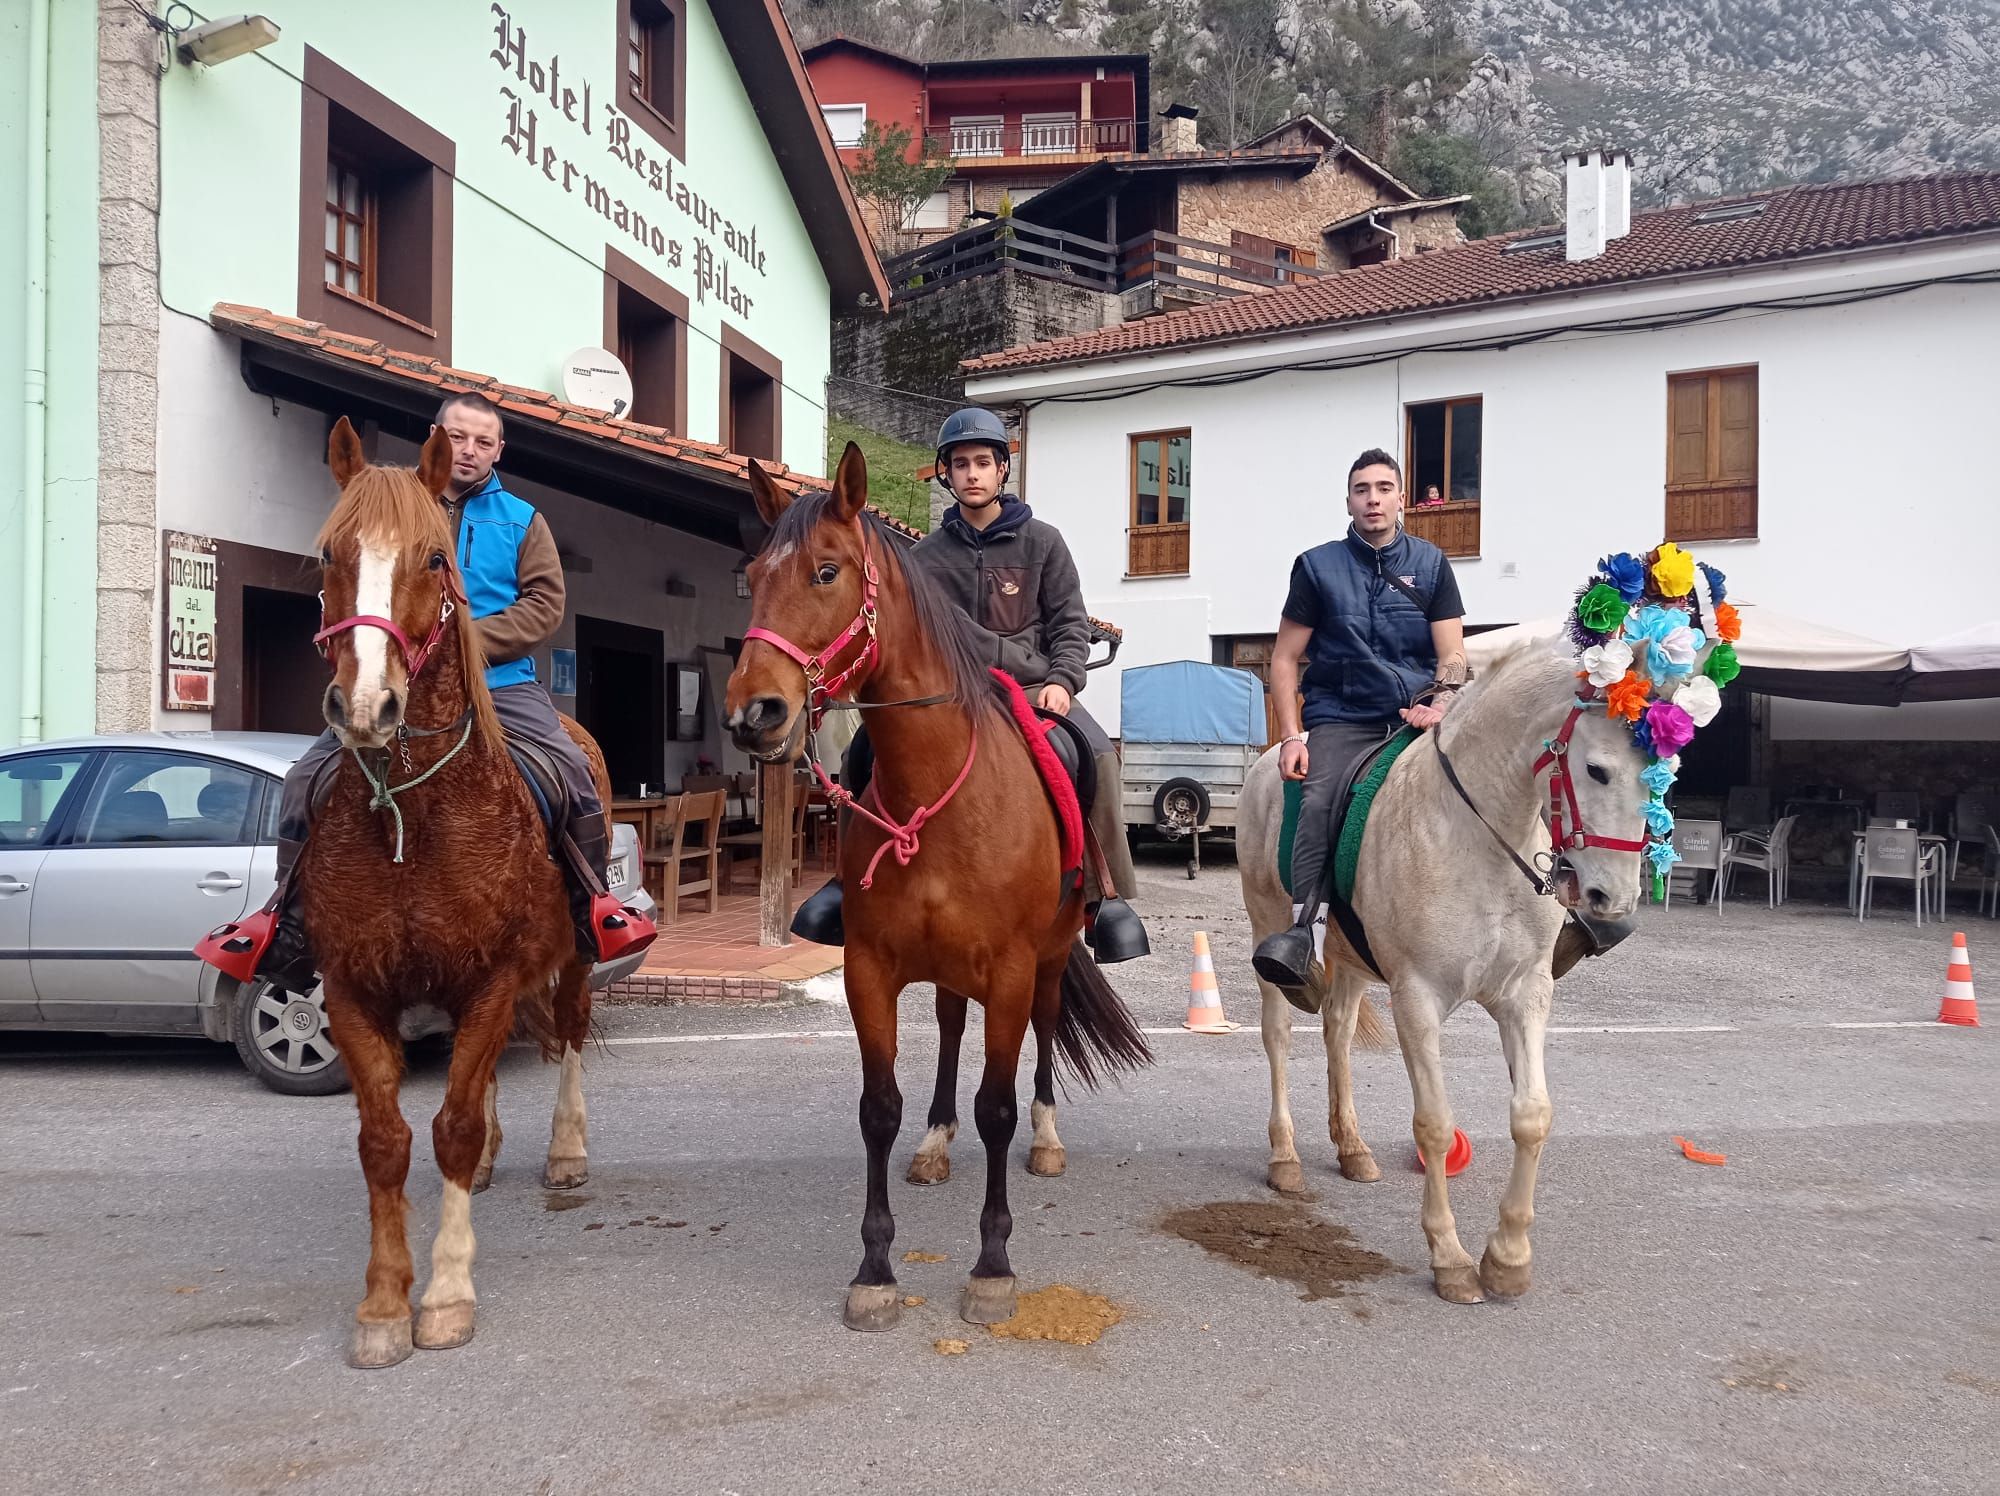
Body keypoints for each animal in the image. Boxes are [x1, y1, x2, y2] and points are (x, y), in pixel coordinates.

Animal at [305, 418, 603, 1367]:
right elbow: (388, 1142)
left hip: (574, 961)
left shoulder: (494, 977)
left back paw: (565, 1150)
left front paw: (444, 1293)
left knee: (569, 1037)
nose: (367, 706)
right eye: (329, 552)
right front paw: (381, 1304)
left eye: (436, 558)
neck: (414, 810)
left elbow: (454, 1125)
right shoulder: (355, 988)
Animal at [725, 444, 1152, 1332]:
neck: (937, 786)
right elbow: (878, 1108)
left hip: (1049, 959)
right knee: (953, 1027)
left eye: (826, 571)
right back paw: (935, 1142)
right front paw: (875, 1269)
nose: (755, 714)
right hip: (951, 967)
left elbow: (998, 1107)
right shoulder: (870, 969)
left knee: (1044, 1032)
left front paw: (992, 1266)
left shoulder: (1013, 968)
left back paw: (1047, 1138)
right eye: (752, 576)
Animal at [1239, 637, 1648, 1303]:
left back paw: (1351, 1147)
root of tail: (1273, 756)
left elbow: (1532, 1116)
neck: (1480, 841)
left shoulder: (1524, 995)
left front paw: (1508, 1258)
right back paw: (1286, 1159)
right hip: (1267, 925)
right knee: (1278, 1037)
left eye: (1667, 771)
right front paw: (1451, 1258)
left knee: (1338, 1033)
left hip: (1351, 961)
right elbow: (1433, 1125)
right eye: (1597, 770)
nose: (1614, 898)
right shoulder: (1418, 999)